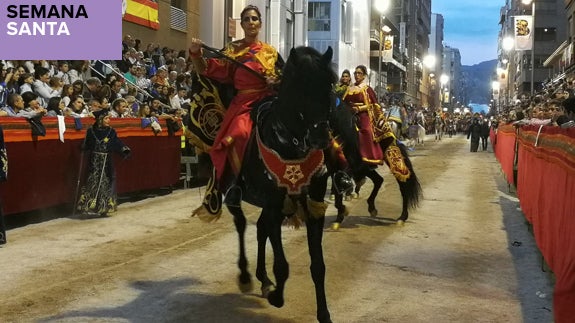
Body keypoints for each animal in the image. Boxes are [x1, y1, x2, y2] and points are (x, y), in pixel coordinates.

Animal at [194, 46, 338, 322]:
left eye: (329, 85)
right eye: (300, 87)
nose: (321, 137)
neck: (289, 145)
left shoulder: (312, 205)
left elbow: (319, 265)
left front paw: (324, 313)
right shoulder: (273, 204)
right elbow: (282, 265)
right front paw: (277, 297)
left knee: (260, 229)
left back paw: (263, 279)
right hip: (234, 191)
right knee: (241, 224)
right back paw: (246, 276)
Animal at [324, 100, 424, 229]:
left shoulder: (350, 165)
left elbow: (341, 183)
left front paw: (342, 211)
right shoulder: (333, 166)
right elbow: (337, 187)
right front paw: (339, 216)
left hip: (391, 160)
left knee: (402, 184)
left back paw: (402, 217)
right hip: (366, 167)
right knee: (378, 180)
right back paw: (371, 207)